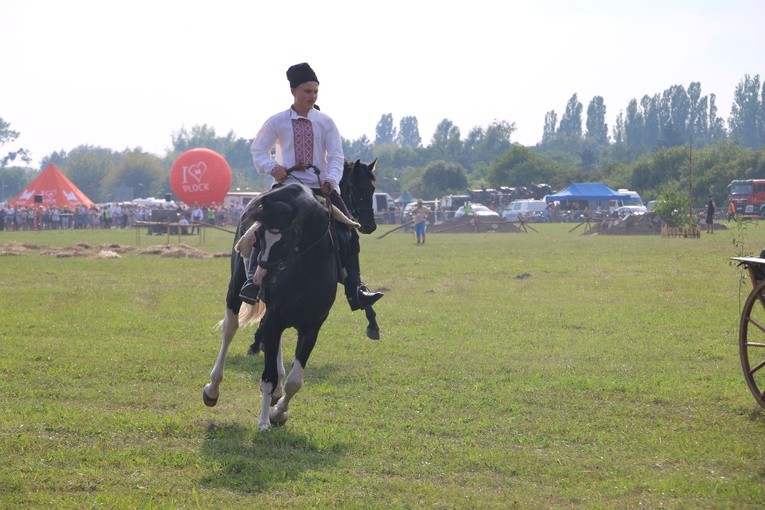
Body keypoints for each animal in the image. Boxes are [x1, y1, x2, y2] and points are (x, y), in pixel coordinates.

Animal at [203, 183, 338, 430]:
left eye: (285, 240)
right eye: (258, 236)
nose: (259, 279)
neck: (306, 272)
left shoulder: (312, 327)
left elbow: (294, 381)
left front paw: (279, 412)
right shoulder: (275, 319)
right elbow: (268, 376)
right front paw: (265, 420)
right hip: (234, 292)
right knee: (229, 330)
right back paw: (212, 389)